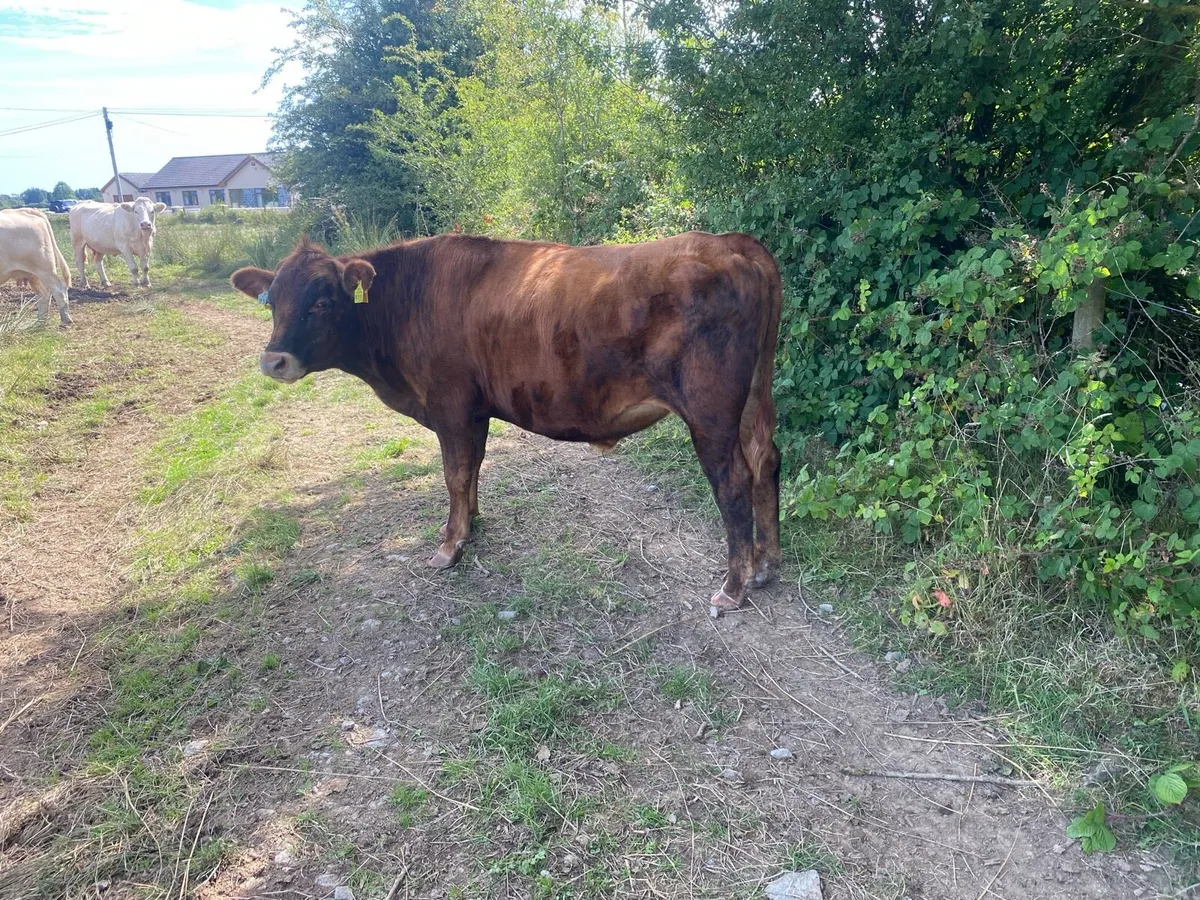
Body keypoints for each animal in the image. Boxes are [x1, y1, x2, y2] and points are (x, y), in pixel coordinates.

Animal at [231, 232, 783, 610]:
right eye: (272, 302)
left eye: (322, 302)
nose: (274, 361)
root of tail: (733, 243)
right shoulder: (472, 410)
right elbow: (471, 470)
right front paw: (468, 526)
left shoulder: (450, 405)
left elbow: (454, 474)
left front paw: (448, 547)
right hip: (754, 398)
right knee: (767, 460)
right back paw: (766, 565)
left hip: (709, 409)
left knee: (734, 481)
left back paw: (733, 587)